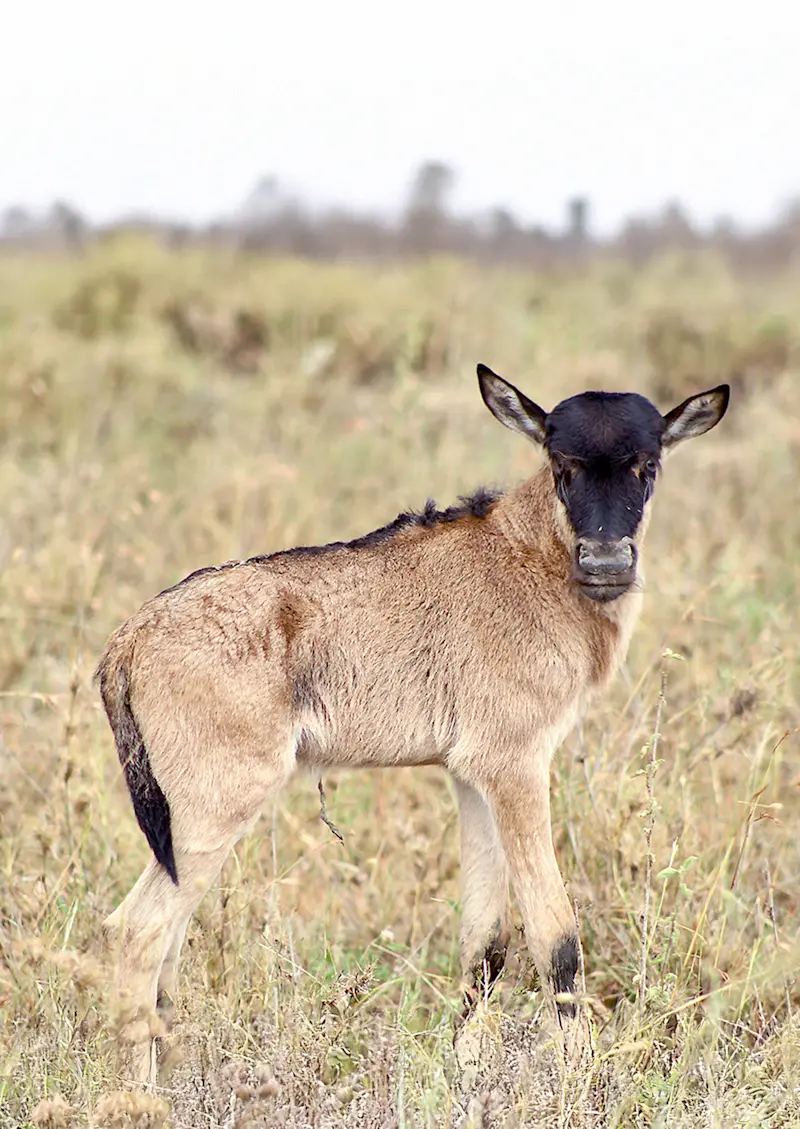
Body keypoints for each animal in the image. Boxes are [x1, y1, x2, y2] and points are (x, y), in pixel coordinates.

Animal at [98, 365, 729, 1080]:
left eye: (647, 464)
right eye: (561, 464)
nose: (606, 564)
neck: (525, 555)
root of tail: (131, 636)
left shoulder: (472, 779)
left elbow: (487, 941)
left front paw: (468, 1070)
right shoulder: (518, 770)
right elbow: (556, 935)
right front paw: (582, 1078)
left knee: (169, 945)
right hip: (215, 810)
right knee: (138, 929)